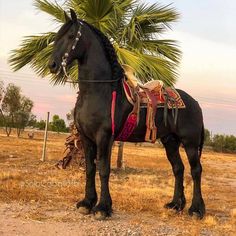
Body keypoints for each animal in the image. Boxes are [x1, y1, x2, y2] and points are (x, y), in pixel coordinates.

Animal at [48, 9, 206, 219]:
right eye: (57, 37)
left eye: (71, 36)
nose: (52, 65)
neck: (100, 91)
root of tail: (195, 103)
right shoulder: (86, 137)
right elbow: (90, 169)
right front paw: (87, 203)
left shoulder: (104, 137)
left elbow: (103, 169)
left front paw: (102, 208)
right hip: (170, 141)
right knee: (178, 168)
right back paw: (175, 204)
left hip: (190, 143)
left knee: (196, 170)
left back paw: (196, 210)